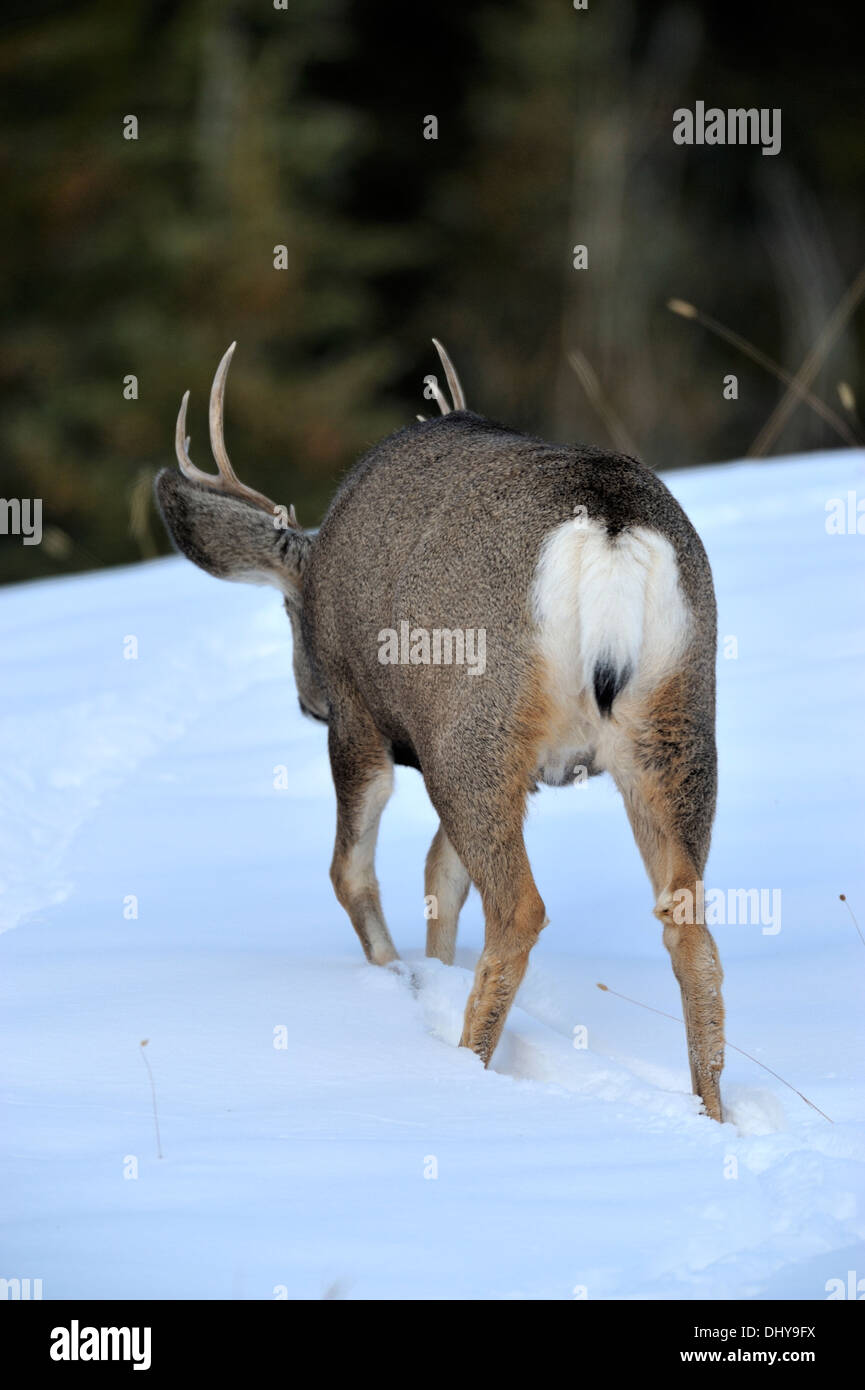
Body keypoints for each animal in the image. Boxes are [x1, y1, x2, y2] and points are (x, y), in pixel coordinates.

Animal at [155, 340, 725, 1120]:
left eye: (286, 612)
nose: (305, 699)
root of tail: (608, 528)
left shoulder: (364, 717)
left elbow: (353, 870)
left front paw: (397, 976)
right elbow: (439, 874)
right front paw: (429, 968)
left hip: (475, 726)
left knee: (518, 910)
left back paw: (464, 1069)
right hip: (677, 722)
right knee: (688, 926)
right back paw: (714, 1114)